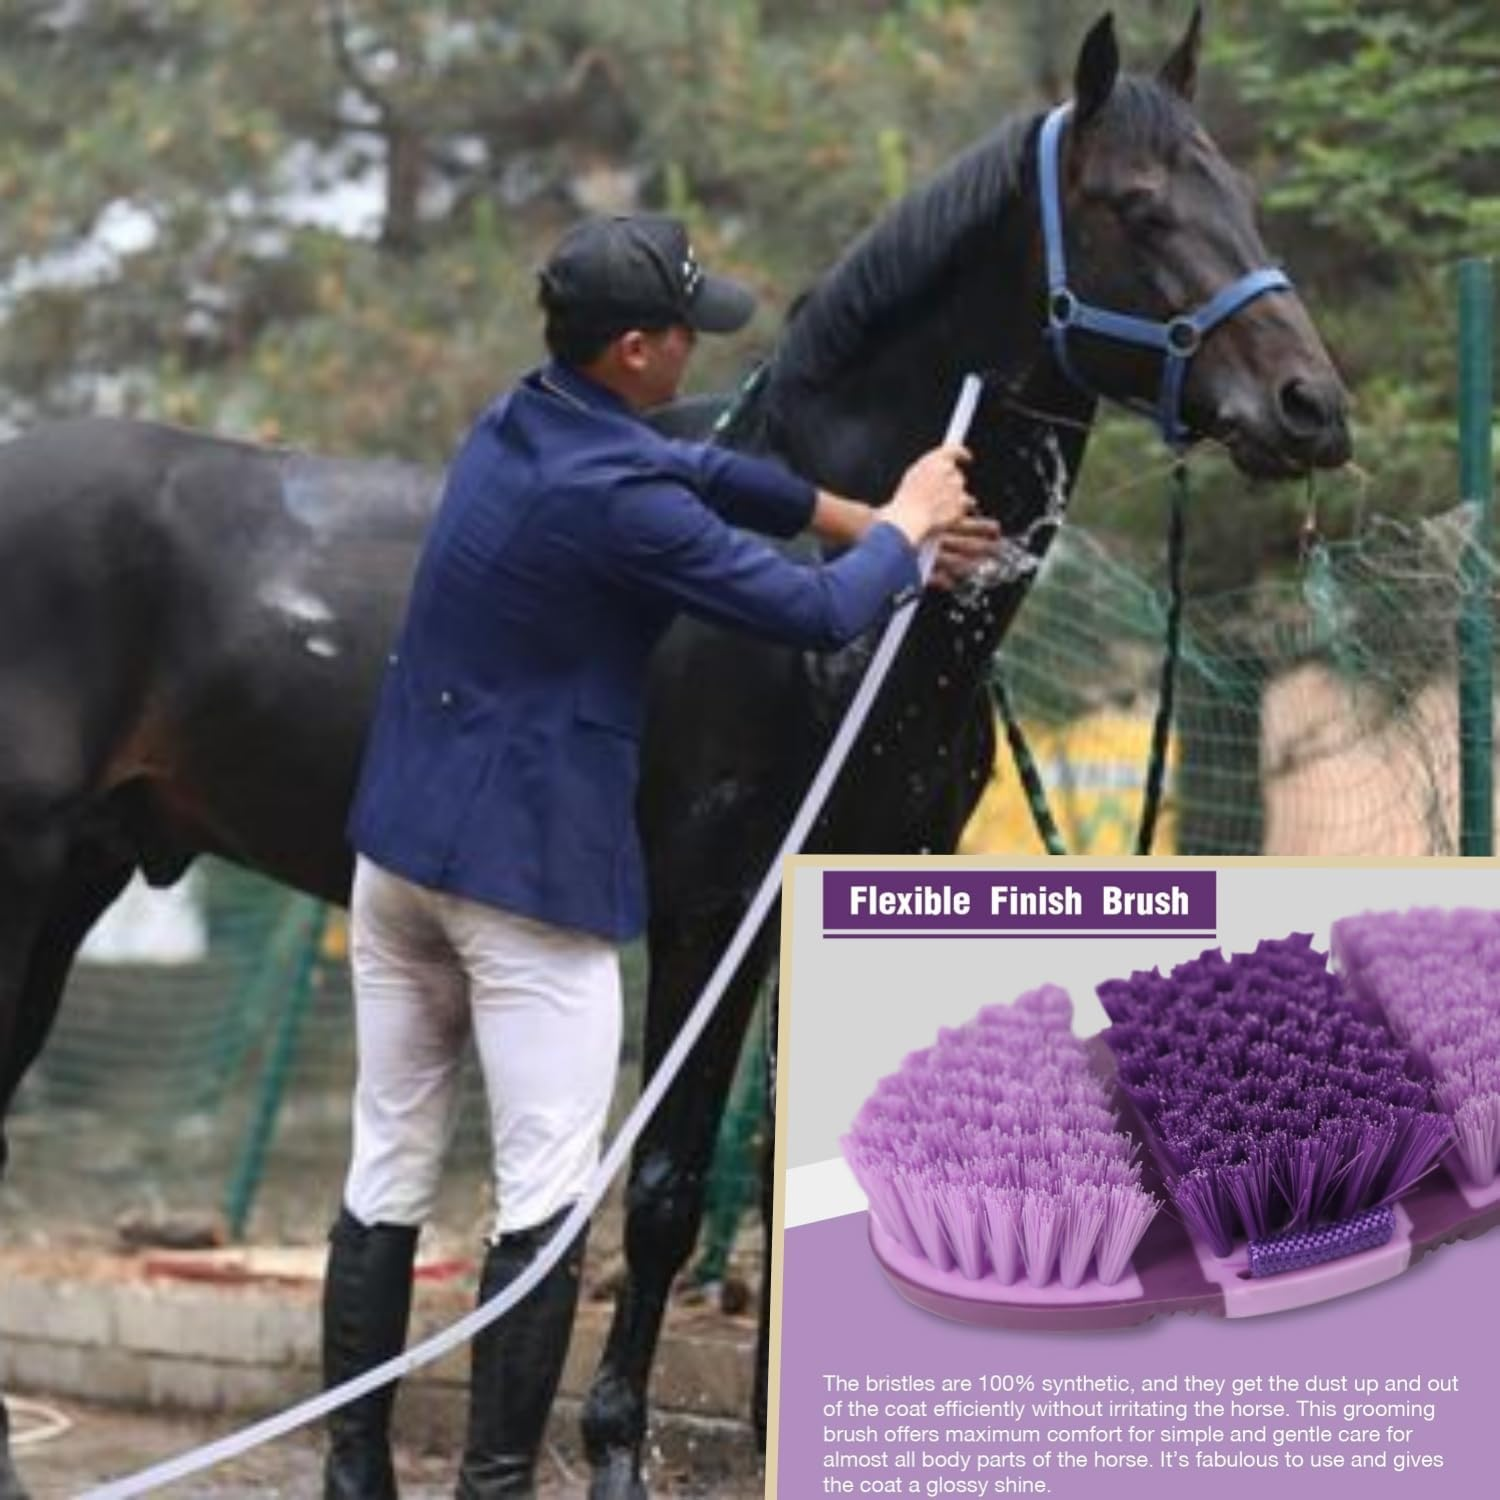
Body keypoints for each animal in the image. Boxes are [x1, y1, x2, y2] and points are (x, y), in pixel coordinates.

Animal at [0, 12, 1348, 1497]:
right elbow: (661, 1194)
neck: (822, 578)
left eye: (1240, 194)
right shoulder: (712, 910)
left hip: (76, 885)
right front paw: (616, 1454)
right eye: (1136, 205)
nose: (1310, 407)